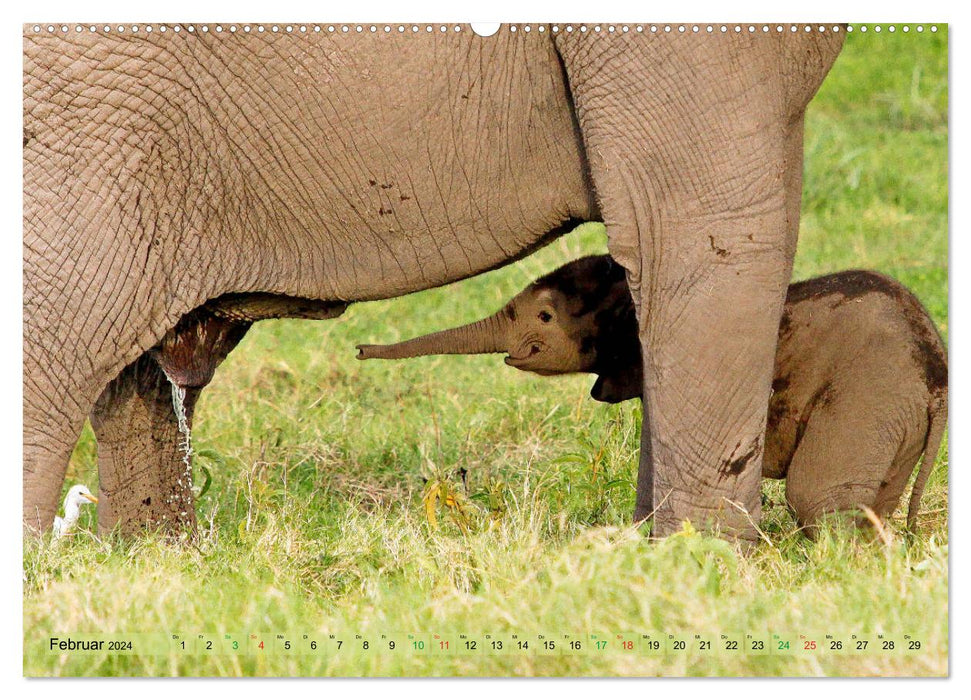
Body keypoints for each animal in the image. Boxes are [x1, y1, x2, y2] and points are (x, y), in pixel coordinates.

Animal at [360, 254, 944, 532]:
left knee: (817, 495)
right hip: (897, 417)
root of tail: (937, 381)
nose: (361, 350)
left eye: (544, 317)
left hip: (866, 400)